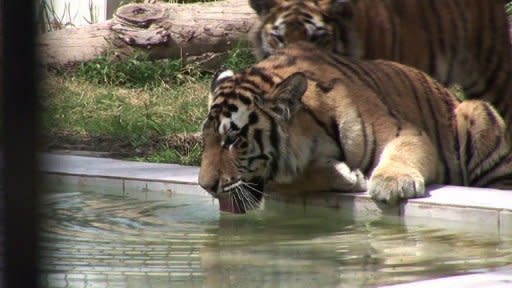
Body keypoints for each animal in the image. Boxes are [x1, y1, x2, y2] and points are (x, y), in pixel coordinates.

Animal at [197, 42, 512, 214]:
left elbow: (403, 152)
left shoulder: (404, 130)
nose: (205, 186)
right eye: (206, 141)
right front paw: (346, 176)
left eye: (233, 140)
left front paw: (391, 183)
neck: (312, 135)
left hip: (478, 113)